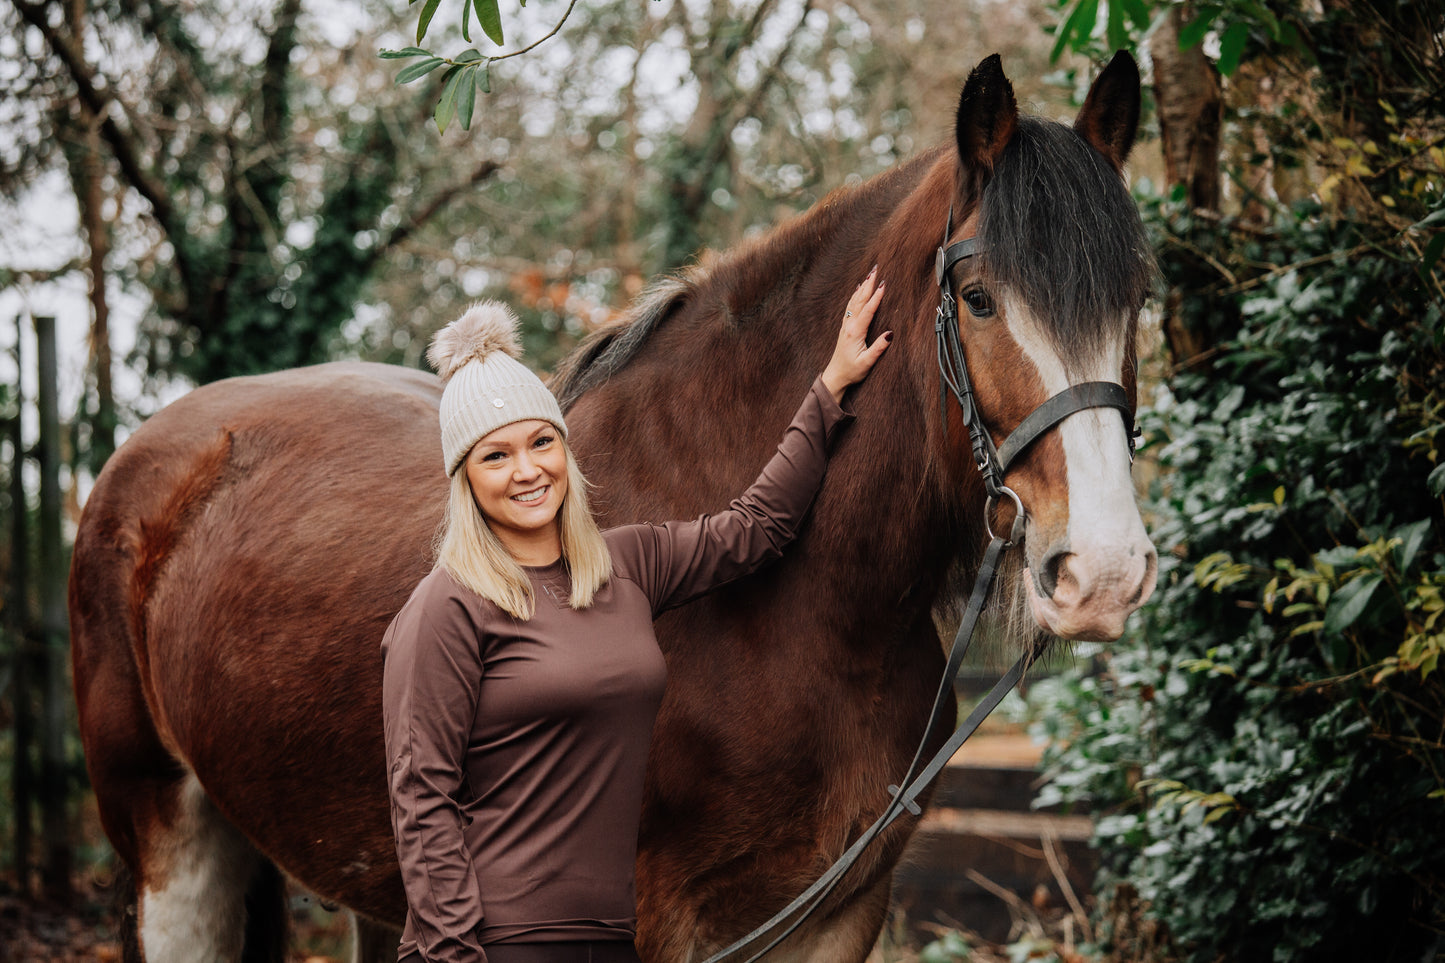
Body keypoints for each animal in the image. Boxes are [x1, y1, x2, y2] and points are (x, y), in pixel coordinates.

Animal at [67, 50, 1156, 960]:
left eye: (1138, 300)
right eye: (977, 299)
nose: (1102, 573)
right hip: (169, 845)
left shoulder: (835, 914)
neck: (797, 609)